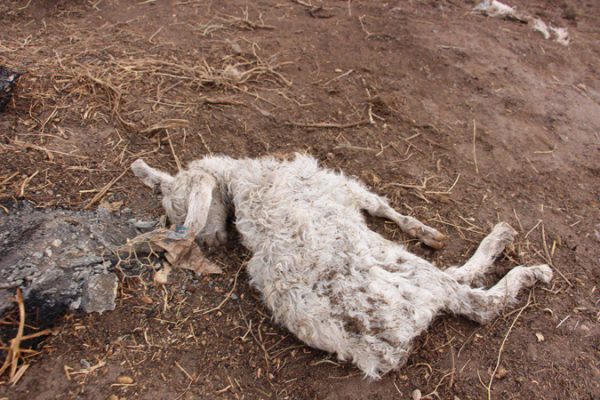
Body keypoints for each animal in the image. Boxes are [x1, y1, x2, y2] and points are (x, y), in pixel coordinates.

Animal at [131, 153, 552, 378]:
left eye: (182, 211)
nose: (207, 243)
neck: (244, 183)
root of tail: (379, 347)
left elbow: (383, 208)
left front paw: (428, 232)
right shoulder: (345, 189)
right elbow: (381, 205)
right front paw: (429, 232)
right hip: (409, 272)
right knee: (477, 302)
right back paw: (517, 256)